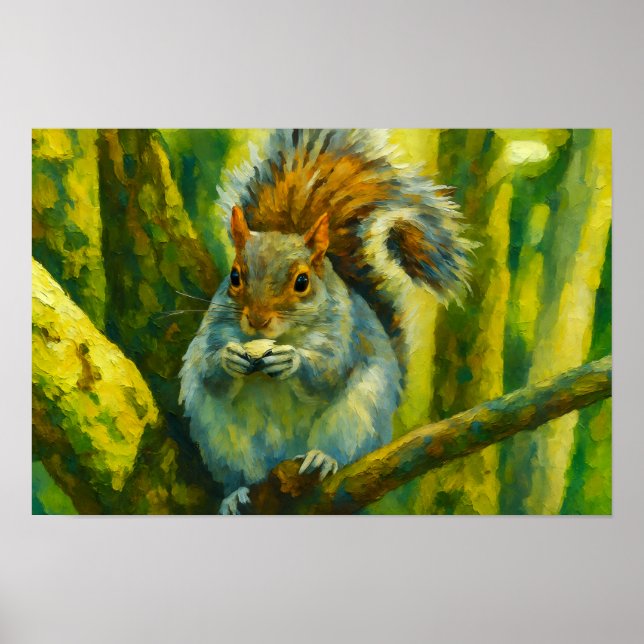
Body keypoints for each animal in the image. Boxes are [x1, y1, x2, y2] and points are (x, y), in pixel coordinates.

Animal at [179, 129, 472, 514]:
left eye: (302, 281)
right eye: (234, 277)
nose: (257, 321)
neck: (287, 334)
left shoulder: (344, 332)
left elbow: (328, 372)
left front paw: (292, 361)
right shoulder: (214, 329)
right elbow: (210, 372)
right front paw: (230, 359)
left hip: (357, 419)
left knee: (341, 449)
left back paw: (322, 458)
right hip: (223, 442)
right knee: (239, 472)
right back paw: (235, 494)